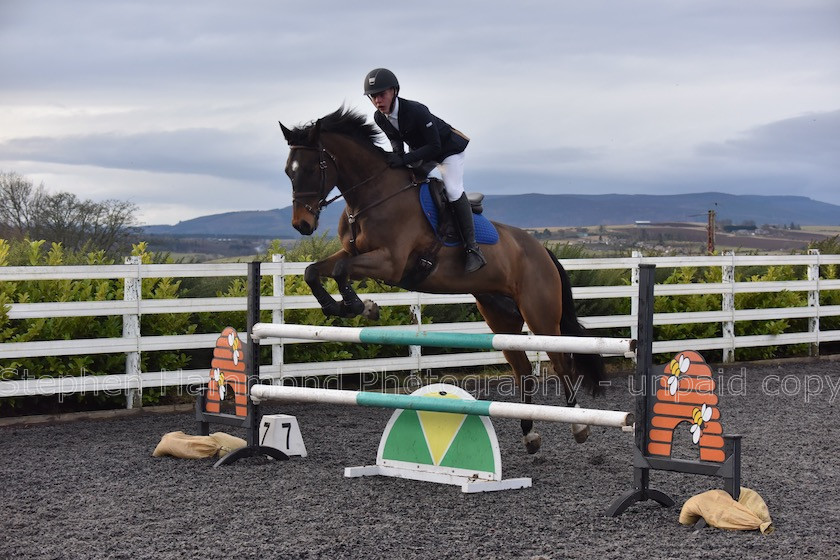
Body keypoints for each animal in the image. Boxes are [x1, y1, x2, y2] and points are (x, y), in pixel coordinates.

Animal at [280, 107, 604, 452]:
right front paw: (346, 307)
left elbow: (341, 271)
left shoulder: (391, 263)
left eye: (313, 168)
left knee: (561, 362)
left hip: (540, 314)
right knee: (523, 369)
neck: (372, 197)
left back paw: (579, 425)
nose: (302, 224)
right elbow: (314, 270)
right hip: (500, 316)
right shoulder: (352, 253)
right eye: (288, 171)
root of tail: (541, 250)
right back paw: (530, 434)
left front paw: (359, 306)